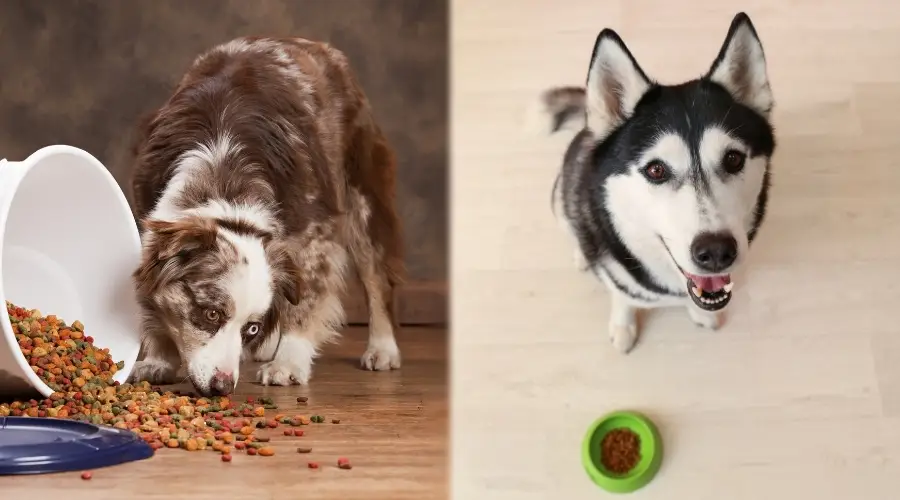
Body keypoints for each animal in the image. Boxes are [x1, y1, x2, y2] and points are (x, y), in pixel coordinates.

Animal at [125, 37, 400, 396]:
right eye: (211, 315)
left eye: (251, 328)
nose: (223, 386)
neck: (223, 183)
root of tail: (318, 45)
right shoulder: (147, 214)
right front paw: (159, 359)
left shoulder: (314, 231)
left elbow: (305, 301)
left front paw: (288, 363)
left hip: (362, 195)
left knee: (376, 276)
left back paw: (383, 348)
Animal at [536, 12, 776, 352]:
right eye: (656, 170)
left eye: (733, 159)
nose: (716, 252)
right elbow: (621, 295)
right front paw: (623, 324)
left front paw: (699, 313)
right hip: (561, 197)